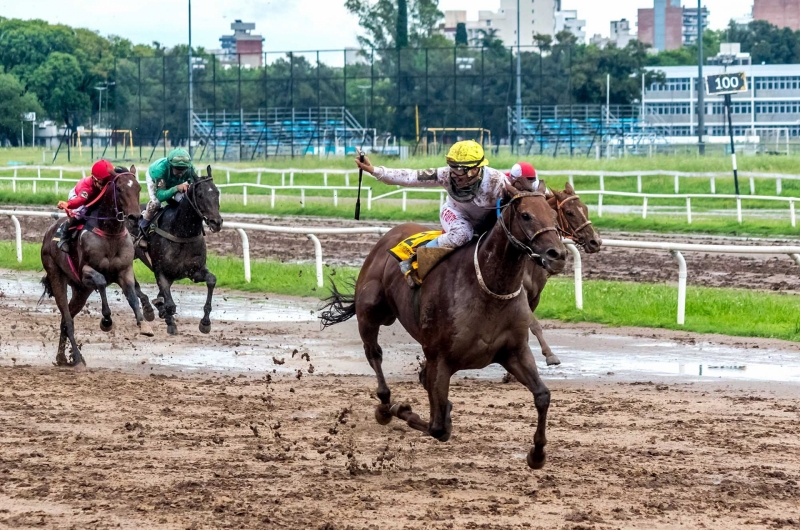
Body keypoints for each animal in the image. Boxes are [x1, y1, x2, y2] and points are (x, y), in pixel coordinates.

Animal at [40, 167, 154, 366]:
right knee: (68, 320)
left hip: (80, 290)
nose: (135, 216)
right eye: (120, 189)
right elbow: (101, 281)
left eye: (139, 188)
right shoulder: (85, 271)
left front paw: (144, 324)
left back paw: (63, 357)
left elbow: (132, 296)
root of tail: (48, 232)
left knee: (65, 320)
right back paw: (77, 359)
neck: (110, 233)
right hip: (56, 275)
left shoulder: (124, 271)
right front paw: (106, 320)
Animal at [130, 165, 222, 334]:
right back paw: (148, 308)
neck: (181, 232)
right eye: (200, 195)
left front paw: (205, 322)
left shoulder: (193, 271)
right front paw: (170, 322)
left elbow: (212, 280)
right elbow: (170, 304)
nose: (216, 222)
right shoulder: (160, 271)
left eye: (217, 192)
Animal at [322, 184, 564, 468]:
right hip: (371, 313)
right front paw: (402, 408)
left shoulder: (514, 351)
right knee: (375, 355)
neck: (488, 288)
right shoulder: (441, 358)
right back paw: (384, 405)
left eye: (553, 215)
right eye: (526, 215)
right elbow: (437, 428)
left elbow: (542, 395)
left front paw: (537, 454)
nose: (558, 255)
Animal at [524, 180, 600, 364]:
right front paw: (550, 355)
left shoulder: (535, 294)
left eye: (585, 208)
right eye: (569, 212)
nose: (596, 241)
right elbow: (532, 323)